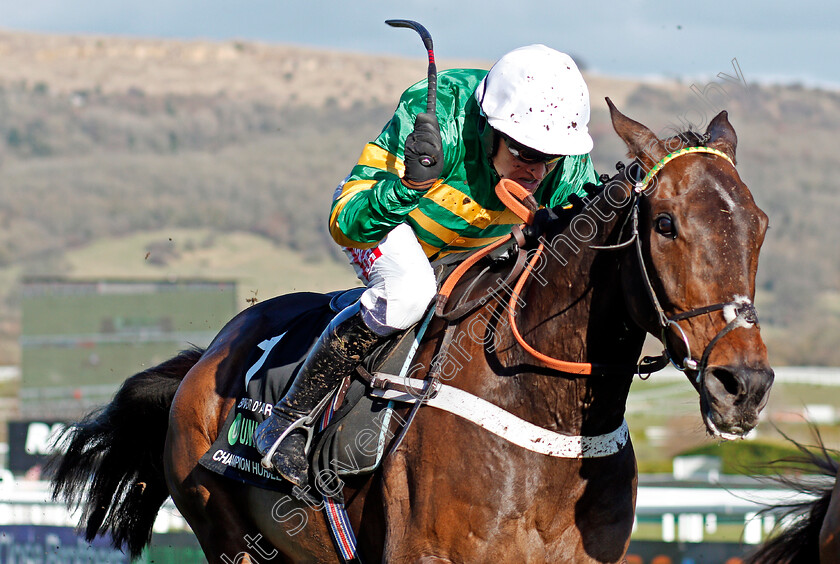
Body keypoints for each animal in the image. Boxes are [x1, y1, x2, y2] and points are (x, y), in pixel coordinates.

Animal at [49, 102, 776, 564]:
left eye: (760, 224)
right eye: (666, 225)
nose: (743, 384)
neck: (544, 418)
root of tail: (205, 360)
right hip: (225, 533)